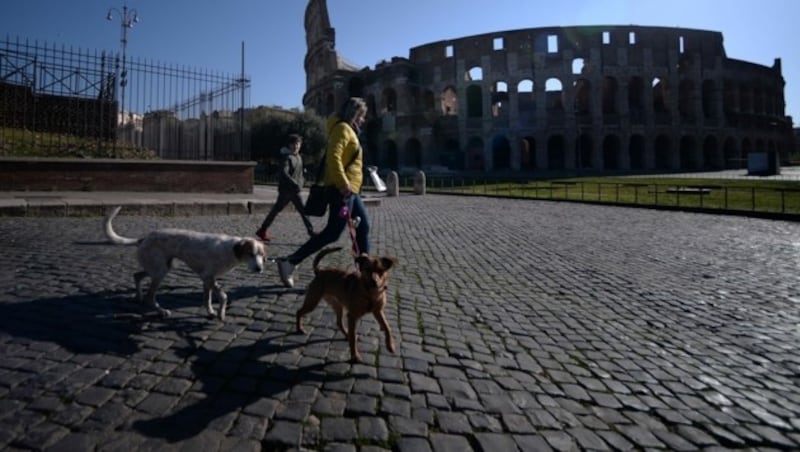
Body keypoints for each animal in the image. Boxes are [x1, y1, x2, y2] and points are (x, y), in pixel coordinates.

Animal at [101, 207, 266, 320]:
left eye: (261, 255)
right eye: (251, 254)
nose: (259, 269)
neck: (231, 249)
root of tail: (144, 238)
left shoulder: (207, 280)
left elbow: (207, 299)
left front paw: (211, 312)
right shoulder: (207, 277)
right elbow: (223, 296)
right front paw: (221, 313)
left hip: (161, 267)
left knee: (137, 276)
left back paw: (138, 296)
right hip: (160, 272)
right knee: (149, 296)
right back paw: (161, 311)